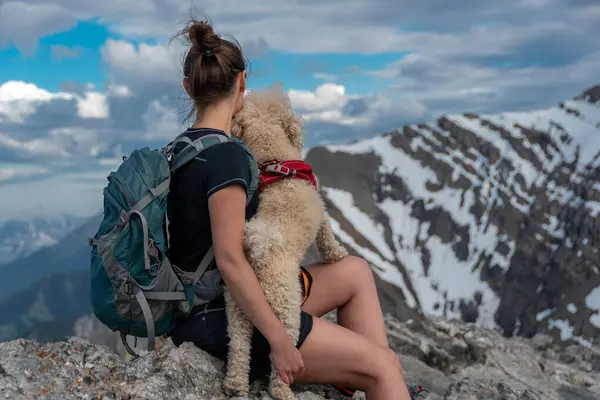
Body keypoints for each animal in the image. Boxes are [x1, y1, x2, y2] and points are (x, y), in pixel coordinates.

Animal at [224, 85, 346, 400]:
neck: (274, 160)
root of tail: (258, 256)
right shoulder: (322, 212)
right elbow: (327, 236)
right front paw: (338, 255)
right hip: (287, 310)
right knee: (280, 358)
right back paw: (283, 392)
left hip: (237, 308)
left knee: (239, 347)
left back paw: (234, 384)